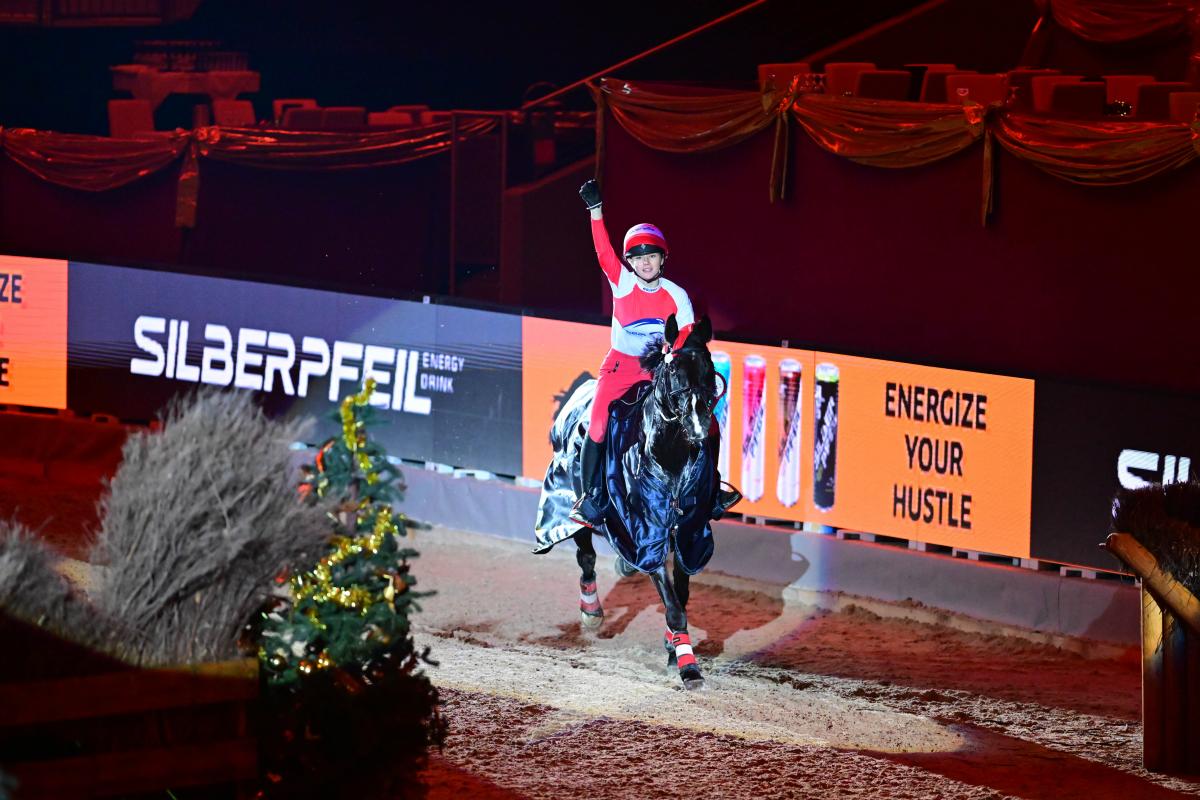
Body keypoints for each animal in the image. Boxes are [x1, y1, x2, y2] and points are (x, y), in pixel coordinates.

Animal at [532, 311, 720, 690]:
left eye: (709, 368)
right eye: (674, 372)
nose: (698, 425)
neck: (668, 455)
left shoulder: (689, 534)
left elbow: (682, 595)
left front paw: (672, 648)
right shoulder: (647, 536)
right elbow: (674, 607)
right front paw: (689, 668)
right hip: (573, 505)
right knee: (586, 555)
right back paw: (591, 611)